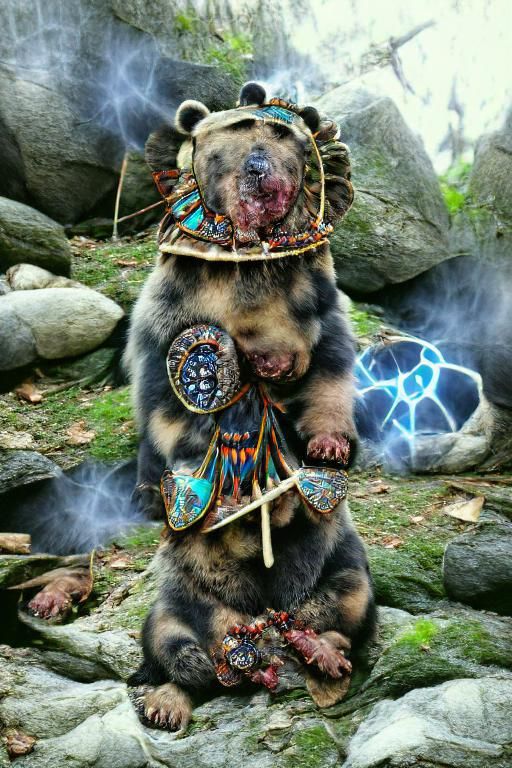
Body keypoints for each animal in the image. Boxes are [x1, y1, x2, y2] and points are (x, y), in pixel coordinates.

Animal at [125, 82, 375, 730]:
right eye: (235, 130)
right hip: (189, 600)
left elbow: (331, 362)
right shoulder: (176, 304)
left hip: (334, 565)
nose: (261, 173)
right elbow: (168, 400)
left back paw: (320, 651)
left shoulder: (312, 297)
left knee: (345, 596)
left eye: (284, 133)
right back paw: (177, 692)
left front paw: (327, 445)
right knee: (172, 632)